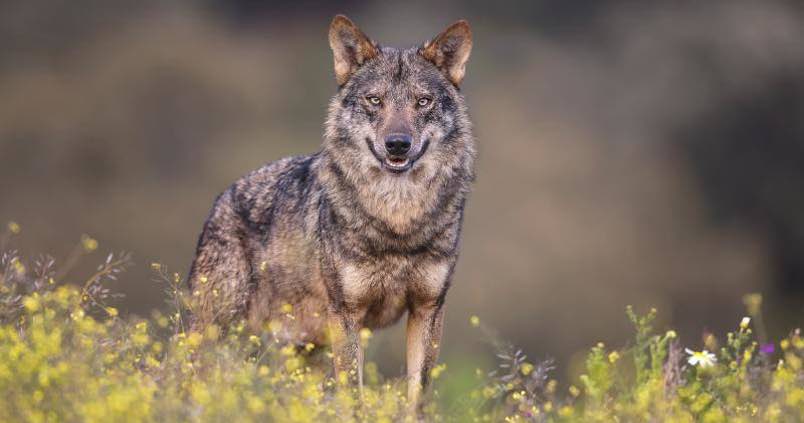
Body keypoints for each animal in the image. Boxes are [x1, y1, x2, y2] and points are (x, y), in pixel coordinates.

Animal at [188, 15, 474, 407]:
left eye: (423, 101)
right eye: (374, 100)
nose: (397, 144)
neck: (397, 221)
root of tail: (222, 197)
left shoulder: (427, 308)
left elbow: (416, 396)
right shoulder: (347, 313)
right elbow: (353, 392)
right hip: (220, 332)